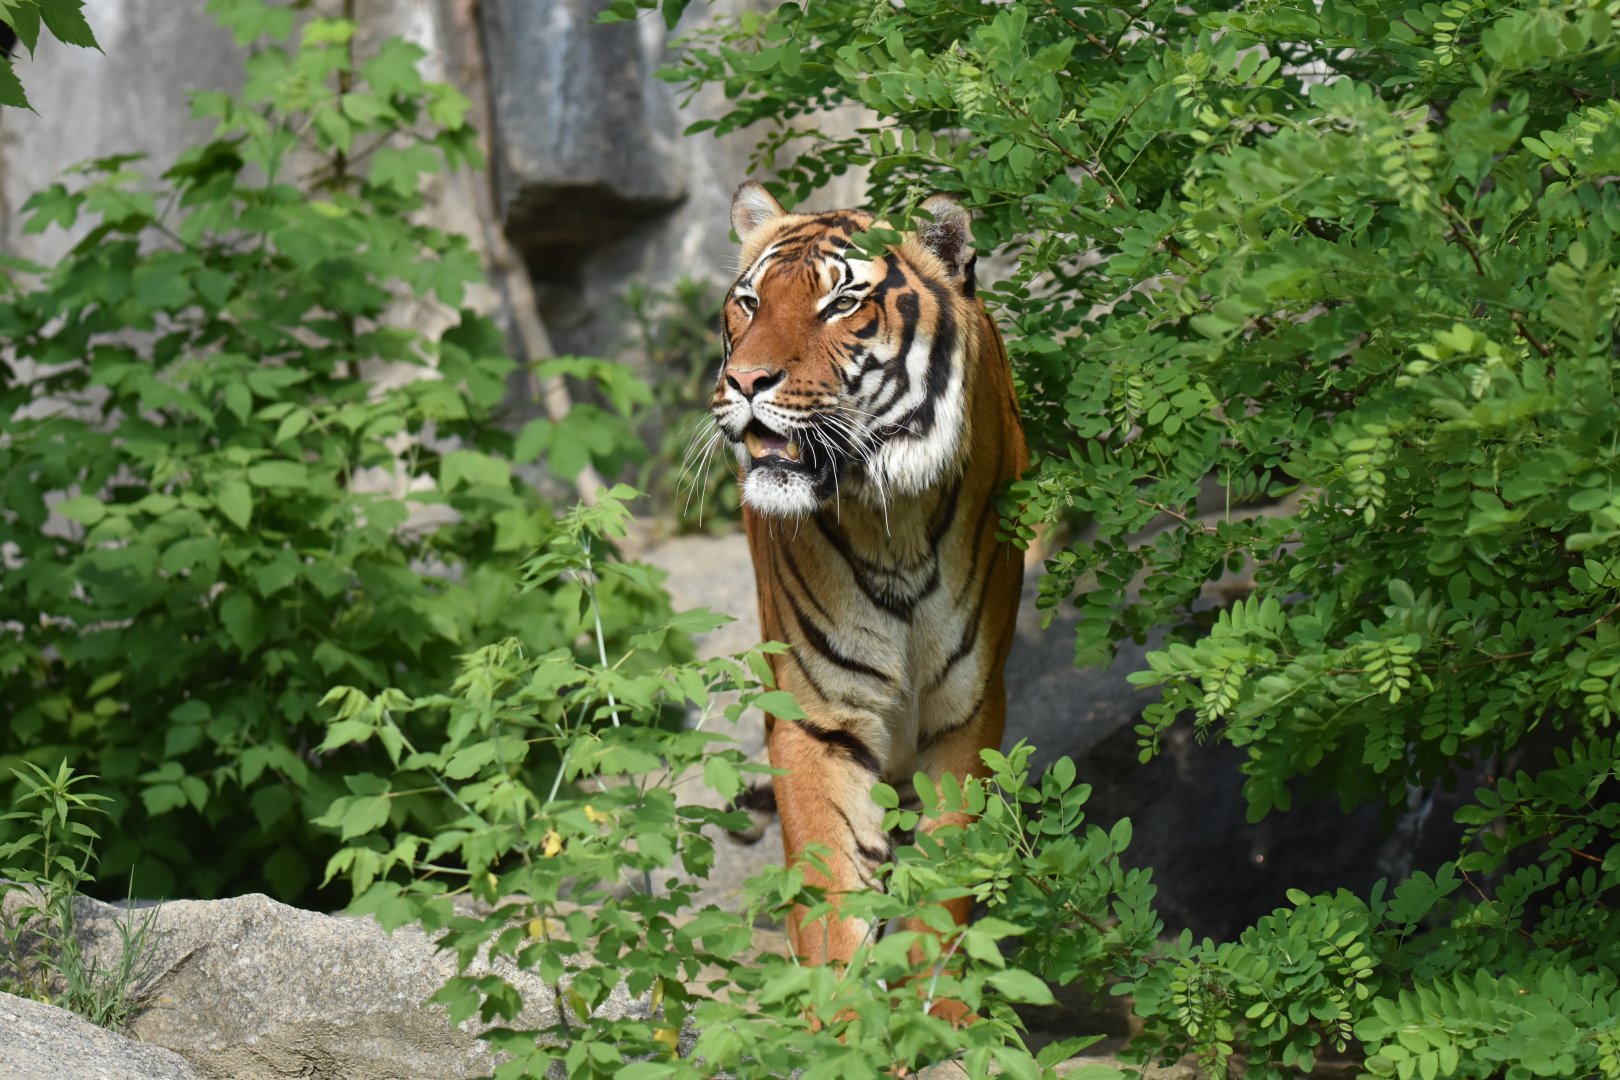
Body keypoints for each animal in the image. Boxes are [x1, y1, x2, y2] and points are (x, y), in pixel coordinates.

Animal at [711, 181, 1028, 983]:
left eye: (841, 303)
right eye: (750, 303)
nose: (745, 382)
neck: (893, 526)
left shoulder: (967, 712)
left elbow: (944, 889)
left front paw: (938, 1005)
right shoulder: (816, 715)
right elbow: (831, 895)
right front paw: (844, 1009)